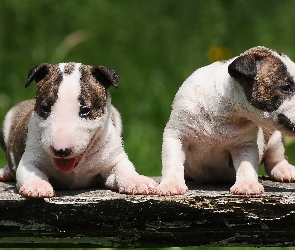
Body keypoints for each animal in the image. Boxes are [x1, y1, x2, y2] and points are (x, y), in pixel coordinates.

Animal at [0, 63, 156, 199]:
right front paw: (37, 186)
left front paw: (138, 181)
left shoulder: (113, 160)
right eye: (45, 108)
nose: (61, 151)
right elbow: (29, 170)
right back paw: (6, 172)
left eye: (85, 110)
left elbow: (124, 167)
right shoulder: (31, 157)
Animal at [157, 46, 295, 195]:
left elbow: (246, 164)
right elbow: (173, 161)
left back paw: (285, 169)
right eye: (286, 87)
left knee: (276, 157)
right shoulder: (177, 135)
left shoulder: (244, 145)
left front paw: (247, 184)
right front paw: (171, 184)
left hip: (274, 138)